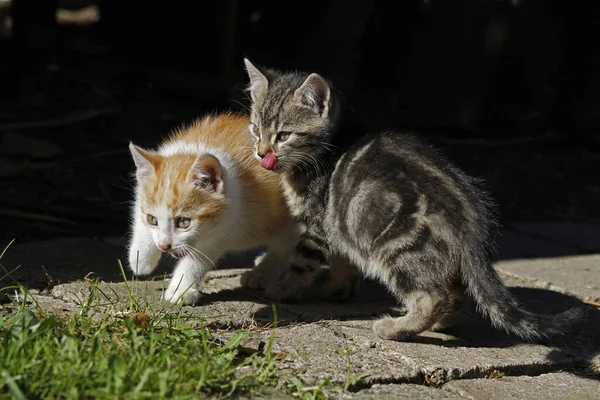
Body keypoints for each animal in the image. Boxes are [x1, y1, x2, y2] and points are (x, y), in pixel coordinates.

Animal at [129, 111, 302, 304]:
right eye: (152, 220)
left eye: (183, 222)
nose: (164, 246)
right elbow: (138, 215)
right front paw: (140, 258)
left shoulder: (220, 232)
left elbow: (196, 259)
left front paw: (180, 289)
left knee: (286, 245)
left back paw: (263, 272)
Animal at [241, 58, 584, 340]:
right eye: (256, 129)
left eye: (284, 135)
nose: (261, 153)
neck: (328, 148)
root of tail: (473, 219)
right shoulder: (339, 222)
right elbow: (344, 258)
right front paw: (337, 289)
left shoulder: (317, 224)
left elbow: (303, 261)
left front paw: (282, 290)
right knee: (455, 293)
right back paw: (440, 323)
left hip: (398, 248)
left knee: (435, 296)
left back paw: (395, 328)